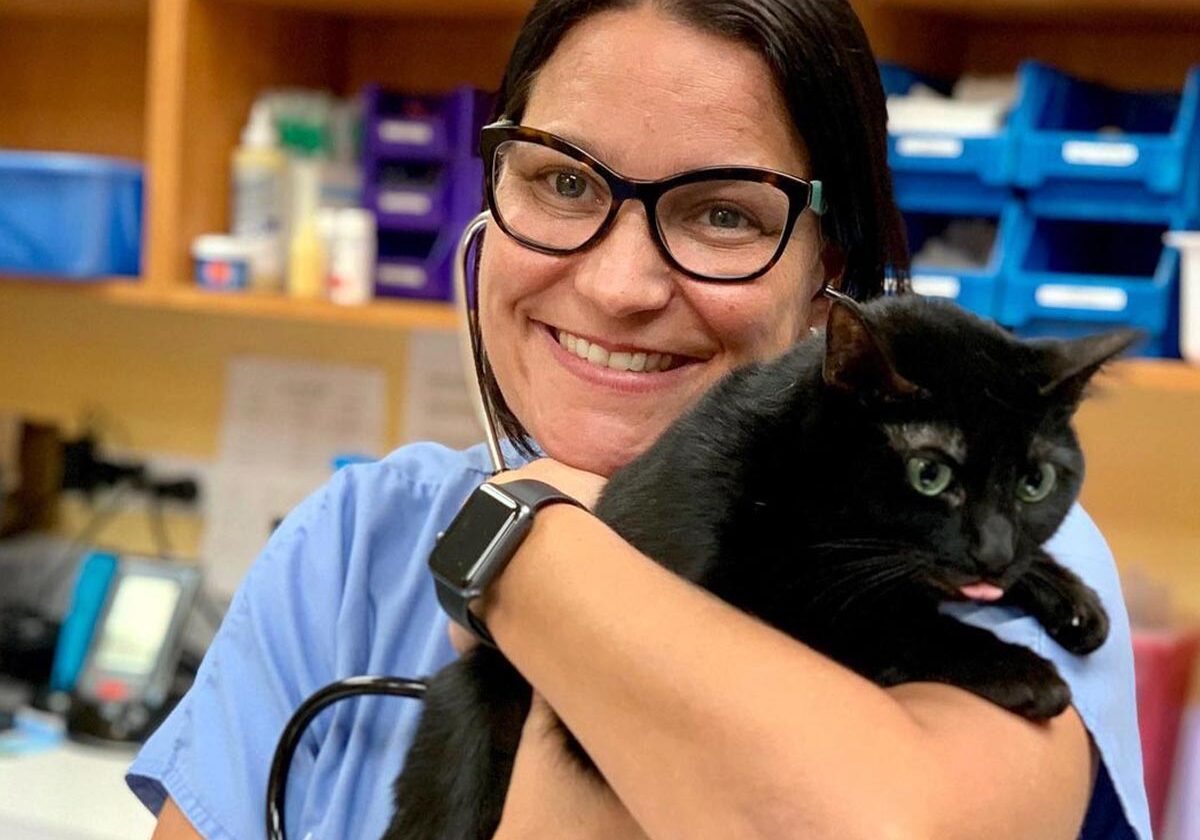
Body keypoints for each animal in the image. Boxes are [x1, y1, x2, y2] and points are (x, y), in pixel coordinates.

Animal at [384, 296, 1132, 840]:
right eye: (930, 473)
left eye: (1035, 482)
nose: (994, 551)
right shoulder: (730, 588)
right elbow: (879, 622)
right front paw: (1023, 671)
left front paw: (1070, 597)